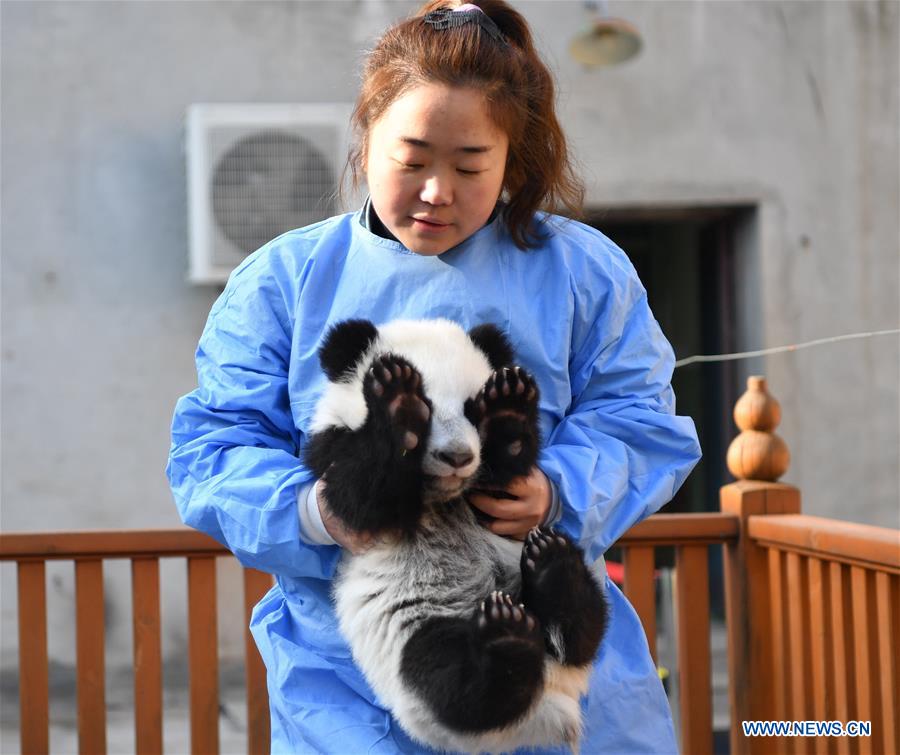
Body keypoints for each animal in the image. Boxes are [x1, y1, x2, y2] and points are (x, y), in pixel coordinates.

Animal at [304, 318, 608, 754]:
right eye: (427, 407)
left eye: (470, 407)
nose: (458, 457)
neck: (442, 494)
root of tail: (549, 694)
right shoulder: (330, 447)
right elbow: (360, 495)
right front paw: (397, 402)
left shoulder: (490, 494)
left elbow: (507, 478)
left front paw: (509, 403)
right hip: (415, 627)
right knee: (449, 682)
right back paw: (507, 641)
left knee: (586, 626)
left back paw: (554, 569)